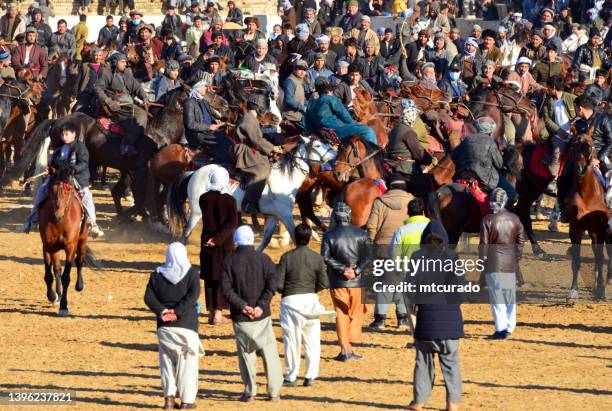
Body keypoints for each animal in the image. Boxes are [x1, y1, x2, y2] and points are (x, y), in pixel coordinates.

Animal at [38, 166, 89, 318]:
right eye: (52, 189)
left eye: (69, 190)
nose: (58, 215)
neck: (60, 223)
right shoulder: (47, 246)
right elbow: (49, 275)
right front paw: (52, 296)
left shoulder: (70, 247)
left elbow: (66, 276)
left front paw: (64, 306)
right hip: (55, 248)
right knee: (57, 269)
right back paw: (58, 294)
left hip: (83, 240)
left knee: (80, 260)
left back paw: (79, 285)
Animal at [167, 137, 338, 249]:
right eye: (318, 145)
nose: (336, 156)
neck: (285, 179)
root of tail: (195, 173)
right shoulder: (285, 215)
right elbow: (295, 236)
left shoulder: (273, 217)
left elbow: (266, 240)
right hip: (196, 211)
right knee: (187, 232)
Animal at [564, 129, 612, 302]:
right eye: (573, 145)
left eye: (589, 146)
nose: (580, 167)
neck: (587, 194)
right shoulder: (575, 228)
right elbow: (576, 259)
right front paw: (573, 292)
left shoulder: (602, 229)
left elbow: (600, 258)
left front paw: (602, 290)